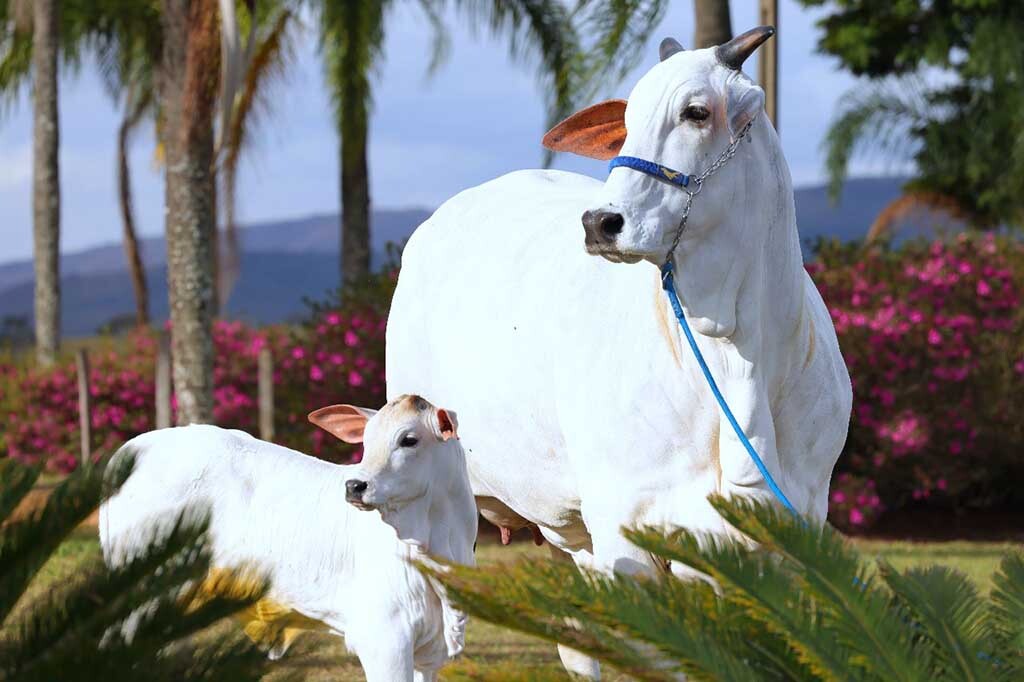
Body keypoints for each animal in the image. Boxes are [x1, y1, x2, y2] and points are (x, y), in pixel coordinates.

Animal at [97, 393, 477, 679]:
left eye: (409, 439)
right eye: (366, 441)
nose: (355, 485)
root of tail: (127, 452)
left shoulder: (429, 652)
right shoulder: (384, 639)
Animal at [387, 26, 851, 675]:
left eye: (696, 112)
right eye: (627, 122)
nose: (600, 222)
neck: (738, 356)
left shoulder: (787, 535)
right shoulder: (629, 533)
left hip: (570, 528)